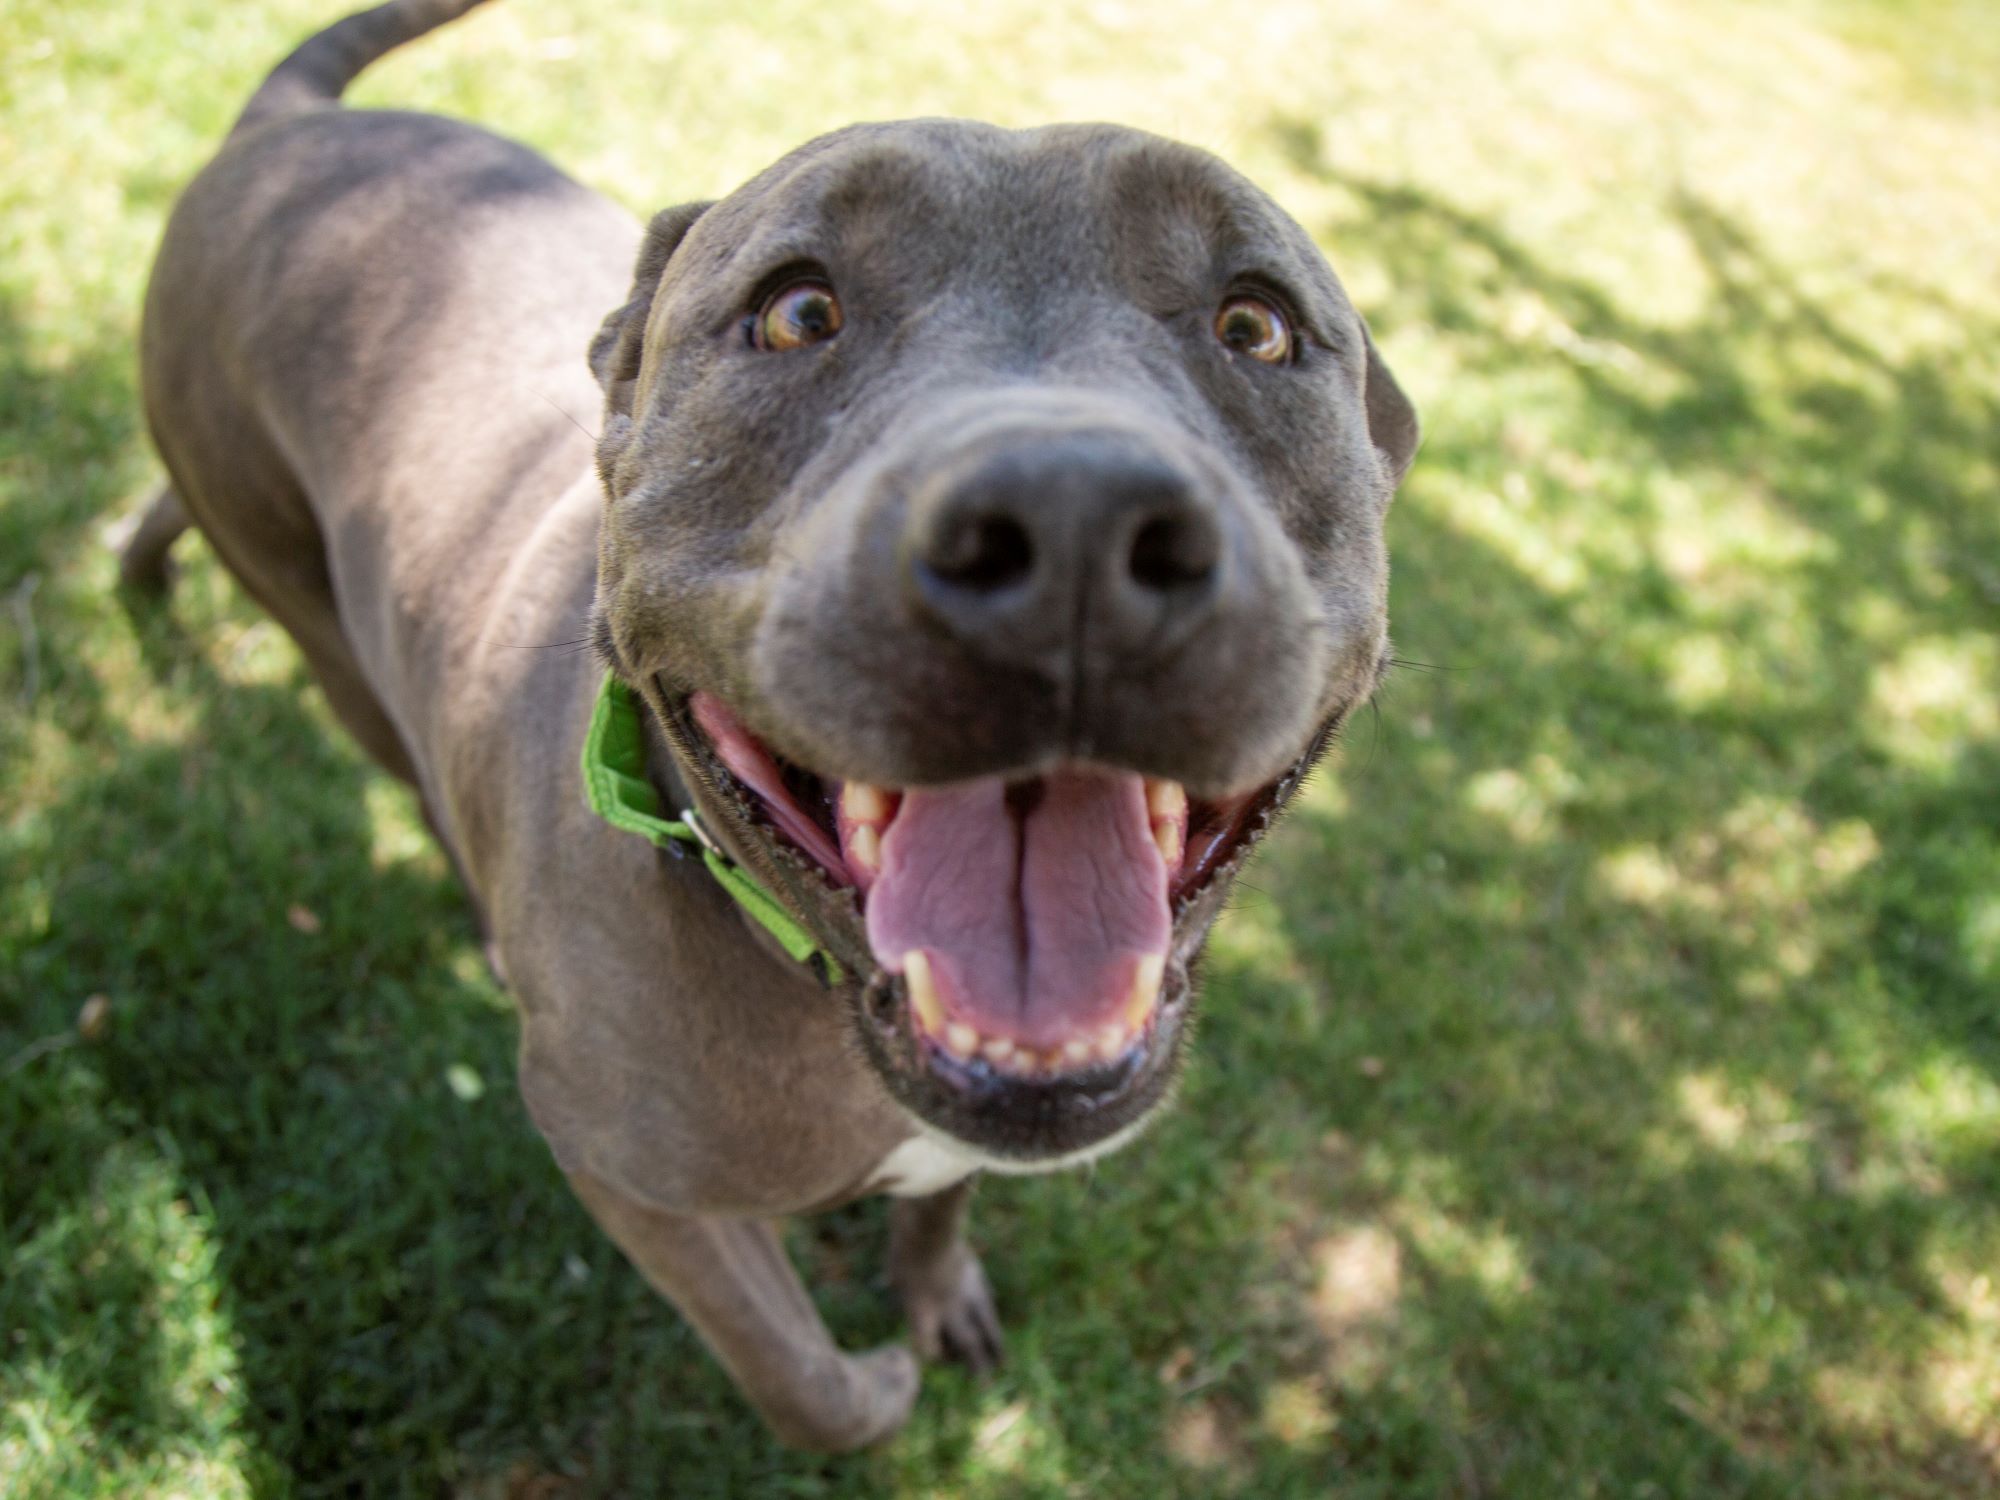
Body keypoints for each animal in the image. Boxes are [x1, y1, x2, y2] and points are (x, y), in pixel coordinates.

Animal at [125, 0, 1416, 1456]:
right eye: (798, 312)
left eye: (1256, 325)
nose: (1071, 524)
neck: (810, 977)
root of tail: (286, 125)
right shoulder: (634, 1184)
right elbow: (800, 1383)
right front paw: (882, 1385)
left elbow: (941, 1202)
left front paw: (938, 1297)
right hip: (327, 637)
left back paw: (134, 563)